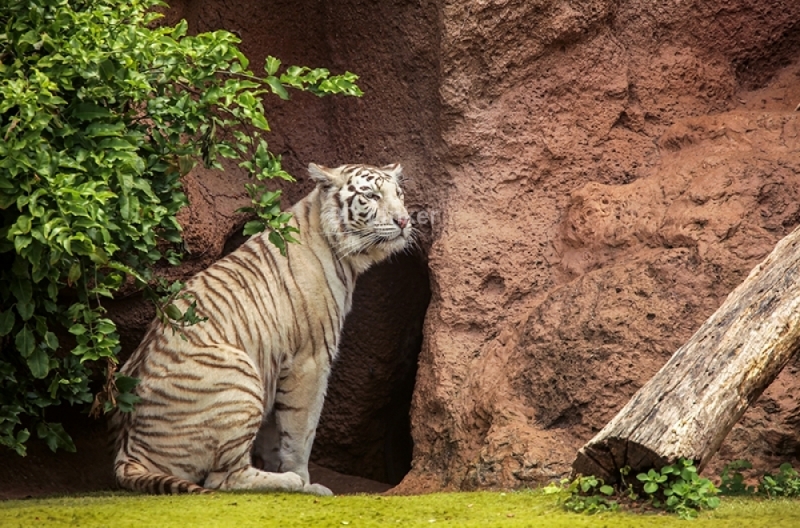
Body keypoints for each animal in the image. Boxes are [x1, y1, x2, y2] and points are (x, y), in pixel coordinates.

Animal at [110, 162, 412, 495]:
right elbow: (301, 431)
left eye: (398, 194)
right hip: (239, 380)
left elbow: (275, 435)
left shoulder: (276, 364)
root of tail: (128, 452)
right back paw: (290, 483)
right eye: (371, 196)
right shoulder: (311, 361)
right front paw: (305, 481)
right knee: (224, 479)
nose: (404, 220)